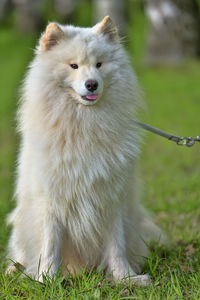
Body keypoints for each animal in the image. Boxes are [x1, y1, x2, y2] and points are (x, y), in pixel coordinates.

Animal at [6, 16, 161, 286]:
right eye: (73, 66)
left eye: (99, 64)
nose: (92, 84)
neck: (83, 125)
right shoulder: (51, 201)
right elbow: (50, 245)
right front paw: (46, 280)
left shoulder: (111, 198)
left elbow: (116, 246)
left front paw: (125, 278)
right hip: (21, 222)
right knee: (21, 253)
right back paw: (15, 270)